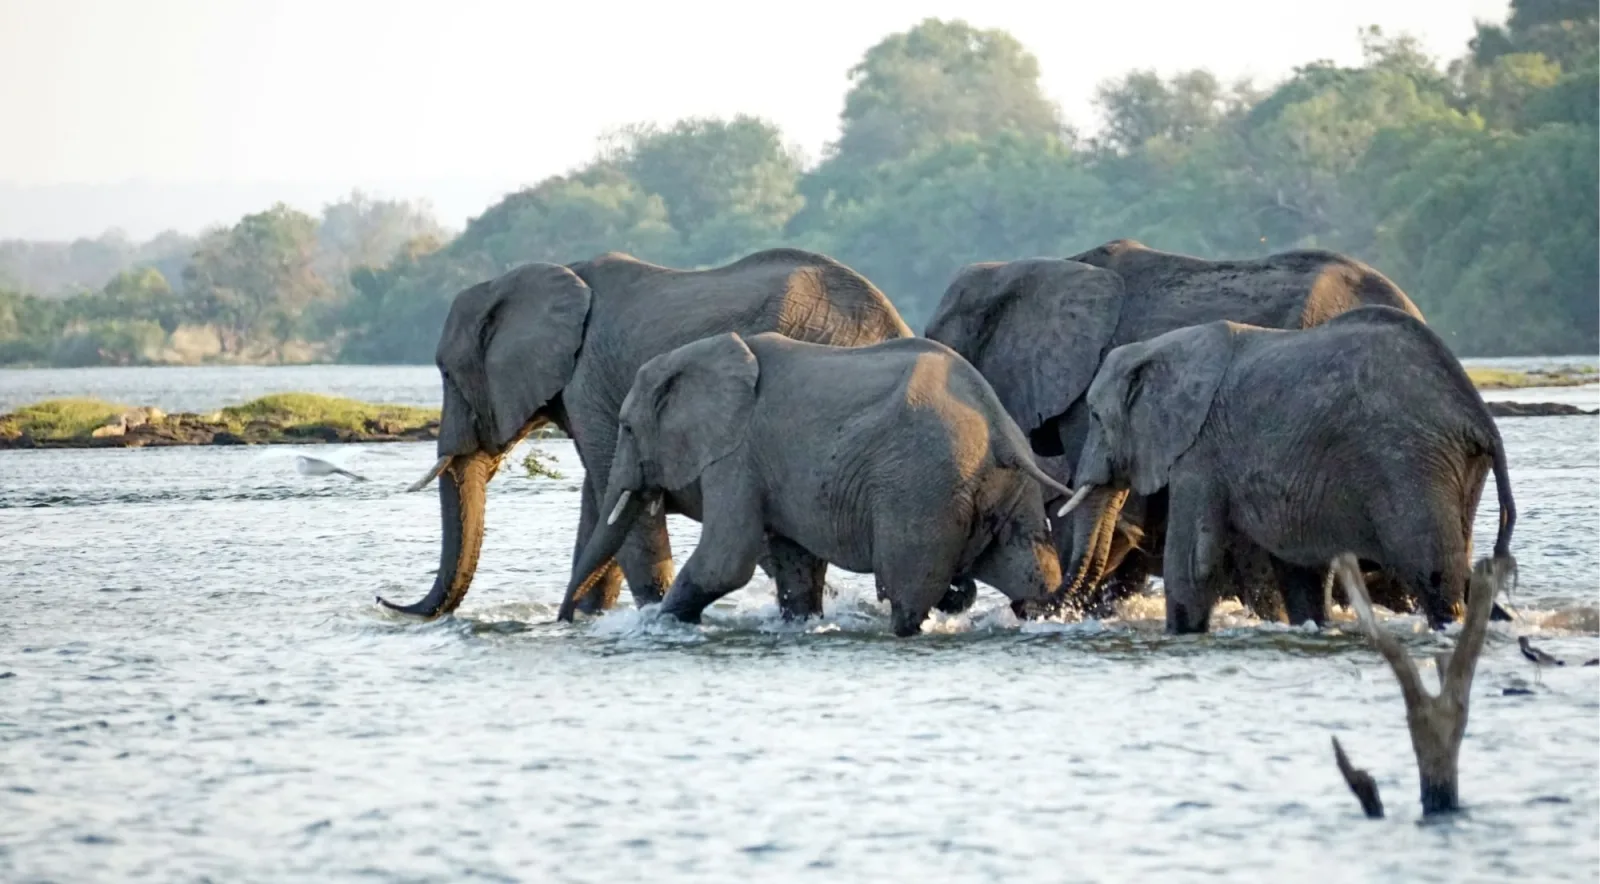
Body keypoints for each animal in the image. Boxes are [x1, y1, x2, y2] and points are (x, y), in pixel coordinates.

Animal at [379, 248, 912, 620]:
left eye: (447, 374)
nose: (387, 601)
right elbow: (602, 503)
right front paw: (587, 616)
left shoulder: (589, 379)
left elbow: (615, 498)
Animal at [558, 332, 1070, 637]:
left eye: (626, 428)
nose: (562, 620)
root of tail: (998, 425)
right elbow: (794, 562)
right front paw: (801, 626)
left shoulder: (736, 456)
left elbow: (726, 561)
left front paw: (661, 625)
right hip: (1004, 488)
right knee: (1034, 574)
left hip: (920, 489)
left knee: (905, 594)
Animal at [1060, 306, 1516, 634]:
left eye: (1095, 416)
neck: (1160, 347)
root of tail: (1479, 419)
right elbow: (1299, 568)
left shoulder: (1201, 450)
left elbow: (1194, 560)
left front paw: (1182, 633)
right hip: (1450, 468)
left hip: (1410, 461)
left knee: (1429, 569)